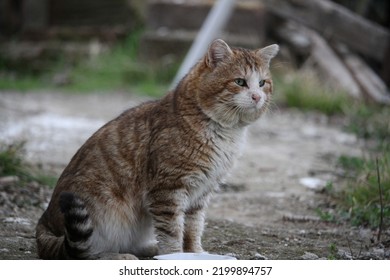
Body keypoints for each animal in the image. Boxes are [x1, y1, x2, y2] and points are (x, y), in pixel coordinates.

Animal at [33, 38, 278, 260]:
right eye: (240, 81)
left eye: (262, 83)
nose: (257, 96)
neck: (224, 132)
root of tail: (43, 223)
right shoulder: (167, 190)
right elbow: (172, 232)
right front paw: (176, 256)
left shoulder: (201, 193)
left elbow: (193, 229)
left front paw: (195, 253)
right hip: (103, 217)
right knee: (87, 253)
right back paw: (121, 256)